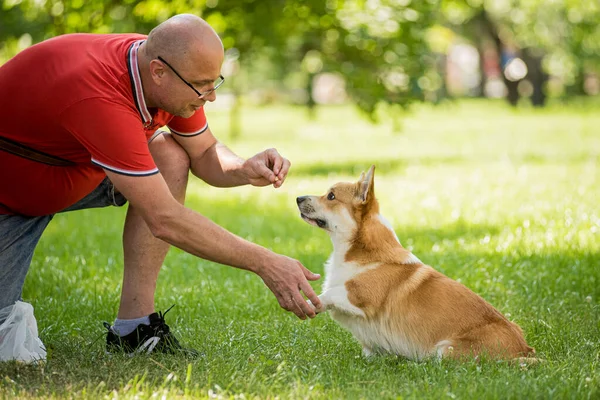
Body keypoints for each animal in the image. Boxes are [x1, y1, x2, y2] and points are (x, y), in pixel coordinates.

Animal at [296, 166, 536, 362]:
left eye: (331, 196)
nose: (298, 198)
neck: (357, 250)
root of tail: (523, 349)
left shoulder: (361, 297)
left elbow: (330, 293)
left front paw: (310, 303)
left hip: (445, 351)